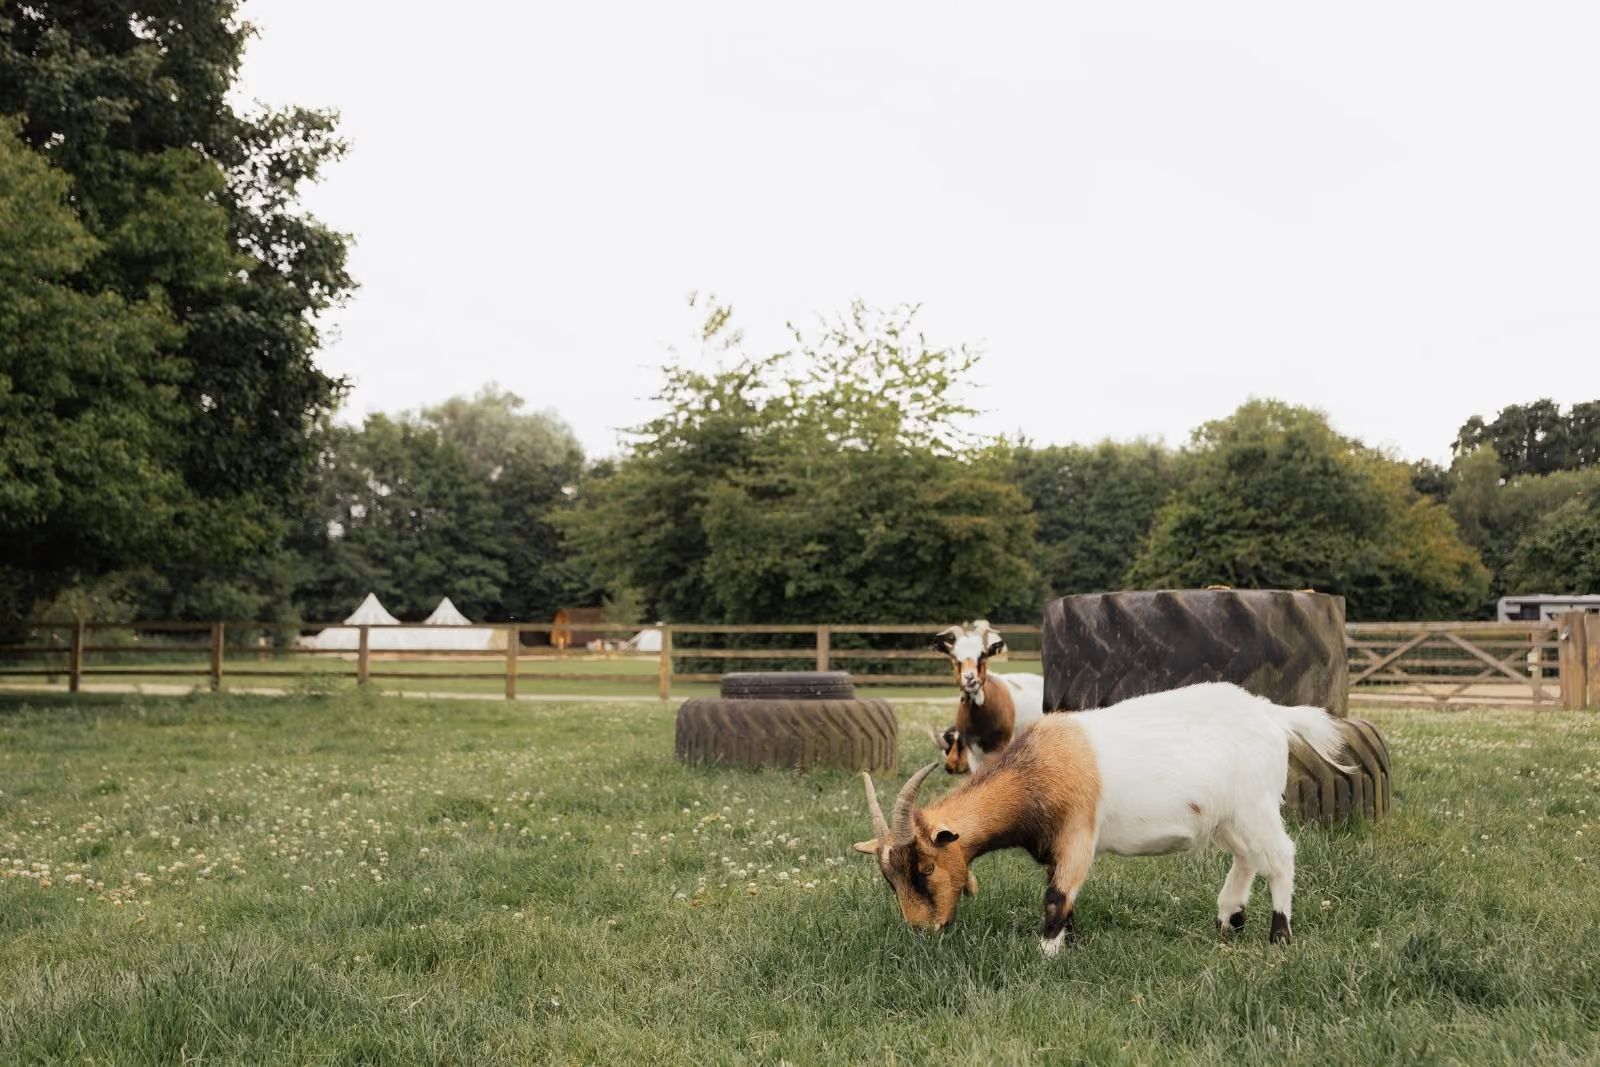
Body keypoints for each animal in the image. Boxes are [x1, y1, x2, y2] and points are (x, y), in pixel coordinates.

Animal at [854, 682, 1349, 955]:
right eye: (889, 879)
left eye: (925, 868)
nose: (923, 931)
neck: (1035, 770)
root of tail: (1271, 714)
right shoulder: (1056, 847)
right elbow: (1064, 895)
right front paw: (1069, 943)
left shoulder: (1078, 833)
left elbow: (1056, 896)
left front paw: (1046, 954)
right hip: (1228, 816)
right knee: (1248, 858)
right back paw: (1228, 921)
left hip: (1256, 804)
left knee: (1280, 857)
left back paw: (1279, 936)